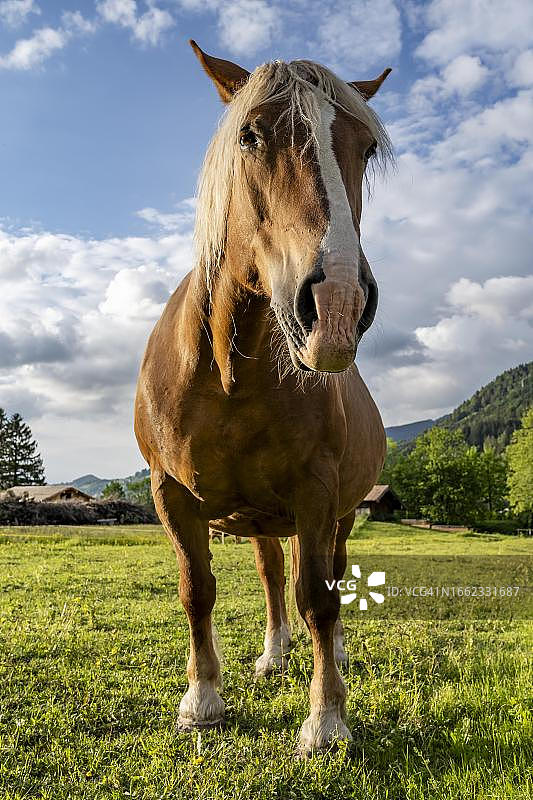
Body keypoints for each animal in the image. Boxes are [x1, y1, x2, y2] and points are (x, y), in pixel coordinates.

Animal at [134, 40, 392, 756]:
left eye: (365, 148)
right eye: (250, 135)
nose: (337, 304)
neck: (229, 378)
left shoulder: (317, 493)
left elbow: (320, 599)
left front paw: (326, 720)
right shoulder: (171, 494)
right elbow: (198, 590)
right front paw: (202, 701)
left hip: (334, 514)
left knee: (325, 578)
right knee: (274, 577)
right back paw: (275, 654)